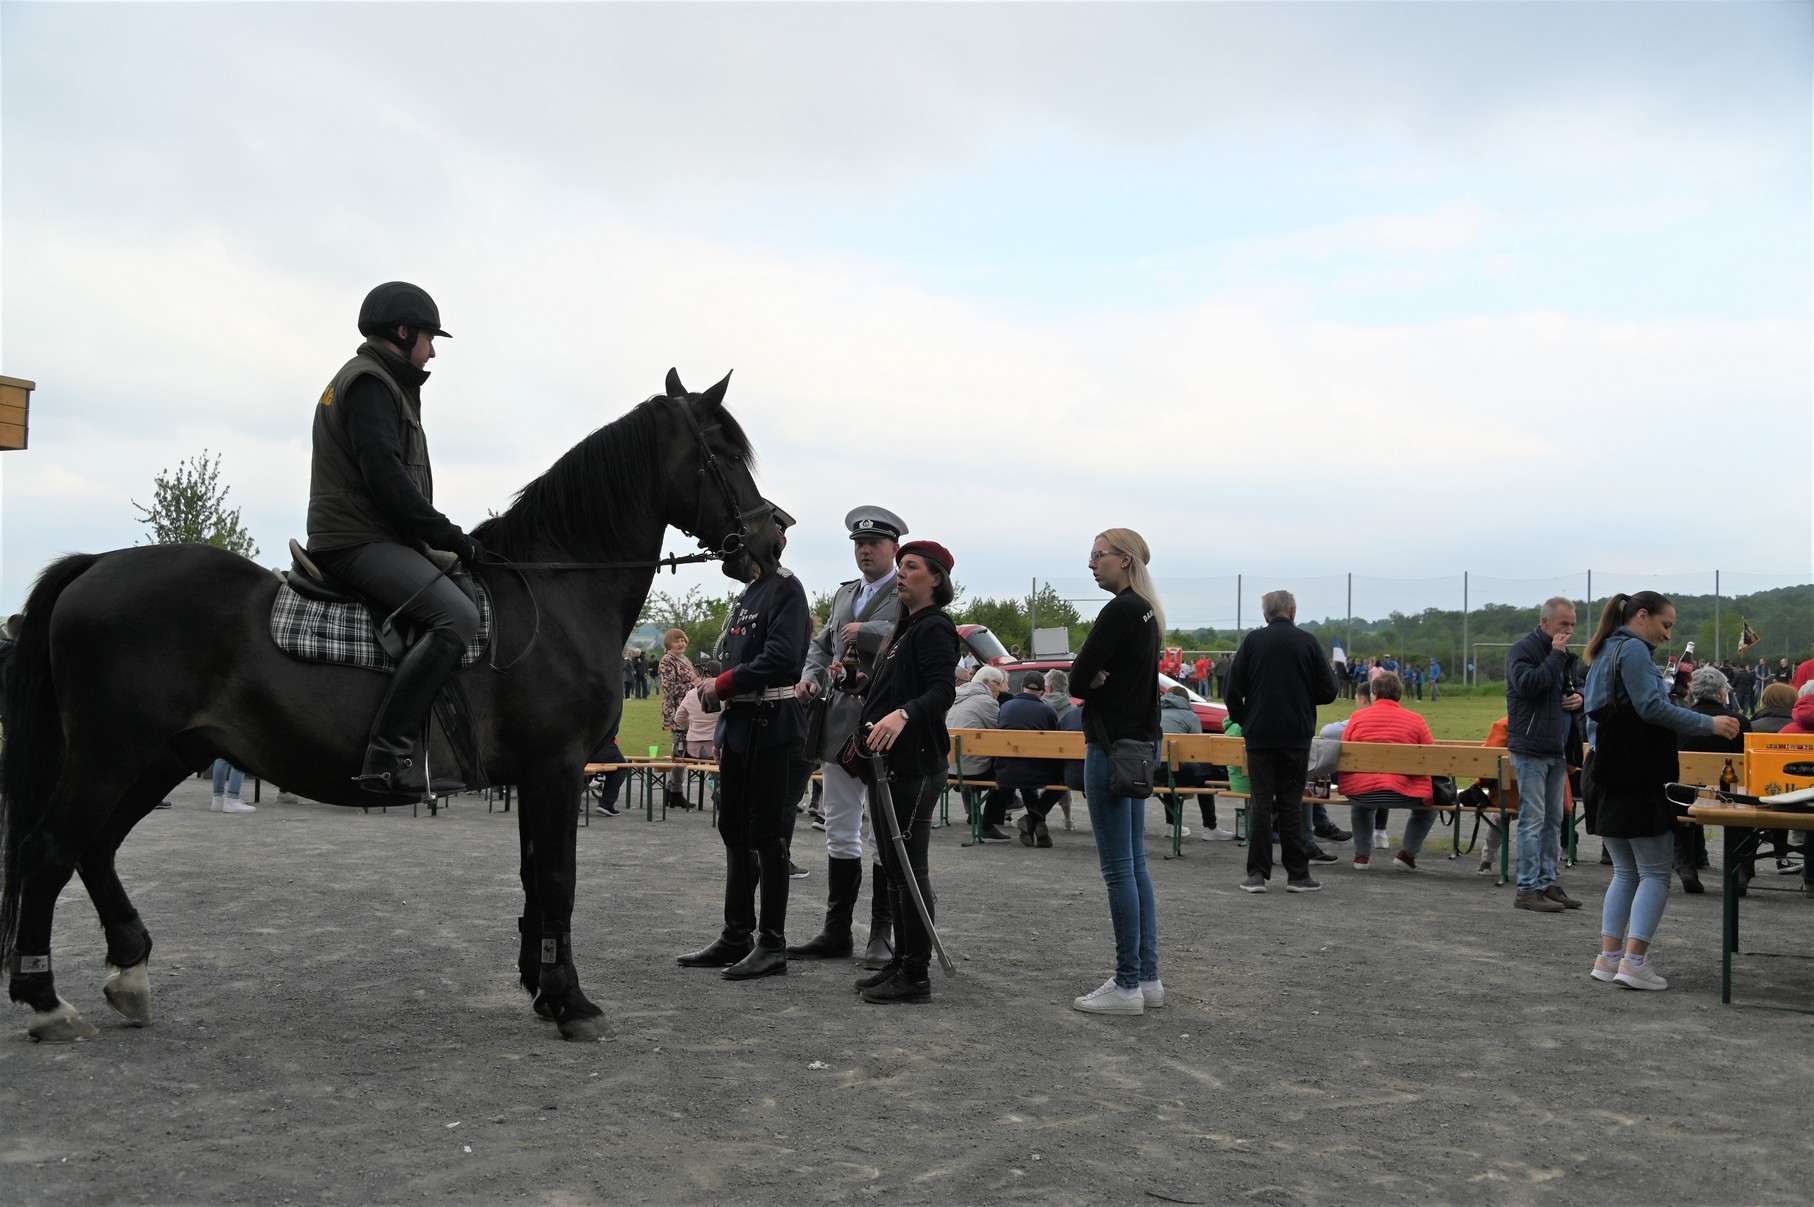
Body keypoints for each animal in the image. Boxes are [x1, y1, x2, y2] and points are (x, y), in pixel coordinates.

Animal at [0, 369, 772, 1043]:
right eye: (728, 452)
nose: (775, 536)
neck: (552, 593)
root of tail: (95, 565)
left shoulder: (536, 776)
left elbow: (534, 877)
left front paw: (541, 985)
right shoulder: (555, 767)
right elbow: (557, 879)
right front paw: (570, 999)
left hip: (162, 755)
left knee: (94, 848)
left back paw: (128, 971)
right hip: (110, 753)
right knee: (50, 848)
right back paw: (44, 999)